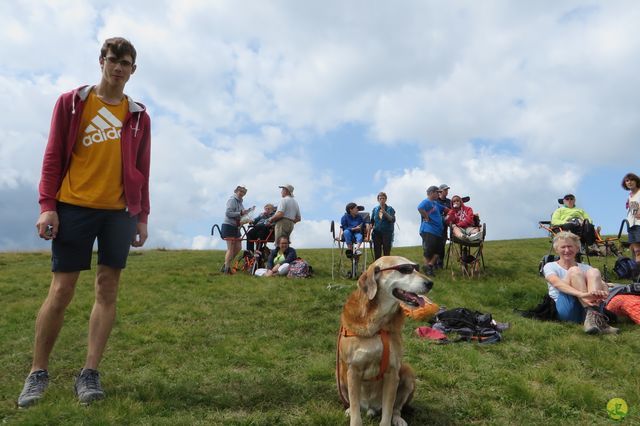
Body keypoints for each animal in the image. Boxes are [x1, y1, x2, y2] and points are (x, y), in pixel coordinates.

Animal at [336, 255, 436, 424]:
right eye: (405, 269)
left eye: (416, 267)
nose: (430, 283)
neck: (378, 323)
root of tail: (370, 407)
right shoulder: (353, 370)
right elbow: (355, 409)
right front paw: (353, 416)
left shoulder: (392, 372)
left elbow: (388, 410)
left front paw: (388, 420)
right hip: (340, 373)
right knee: (351, 402)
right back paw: (348, 410)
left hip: (407, 373)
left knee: (396, 408)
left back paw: (398, 419)